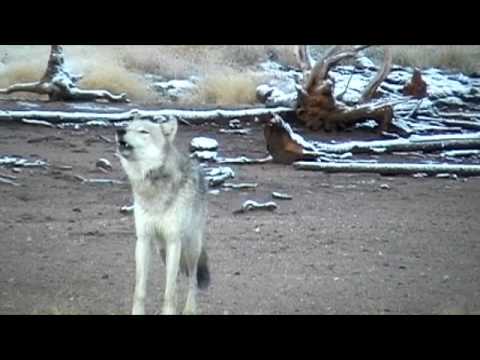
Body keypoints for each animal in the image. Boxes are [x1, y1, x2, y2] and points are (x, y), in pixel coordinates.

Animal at [116, 119, 210, 316]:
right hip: (162, 250)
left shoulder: (174, 240)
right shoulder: (143, 240)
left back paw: (190, 309)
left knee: (192, 279)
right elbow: (140, 289)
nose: (119, 130)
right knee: (178, 277)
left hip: (190, 248)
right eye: (128, 126)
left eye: (143, 131)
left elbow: (170, 291)